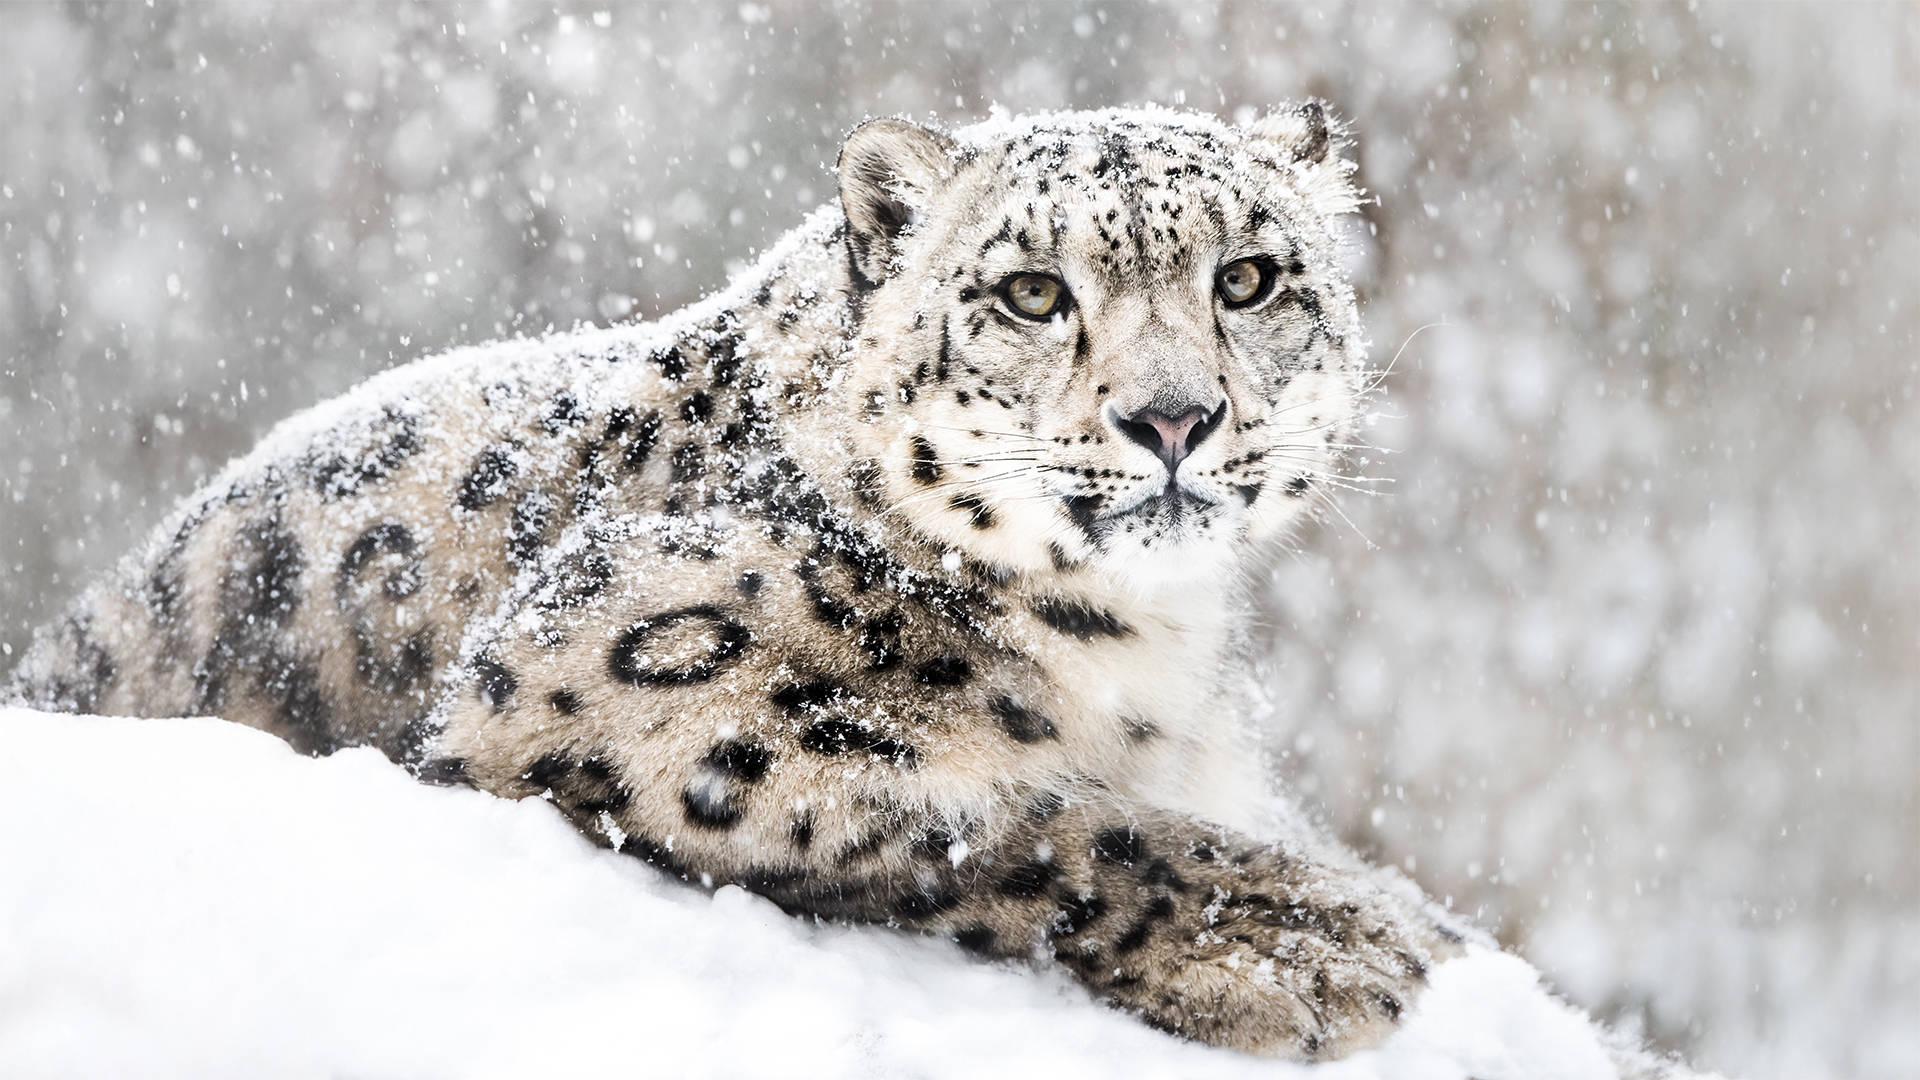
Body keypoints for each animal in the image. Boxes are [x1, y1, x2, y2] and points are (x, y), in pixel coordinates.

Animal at [8, 104, 1468, 1060]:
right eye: (1033, 291)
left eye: (1251, 276)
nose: (1173, 417)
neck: (1143, 646)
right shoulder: (612, 684)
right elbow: (981, 818)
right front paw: (1318, 940)